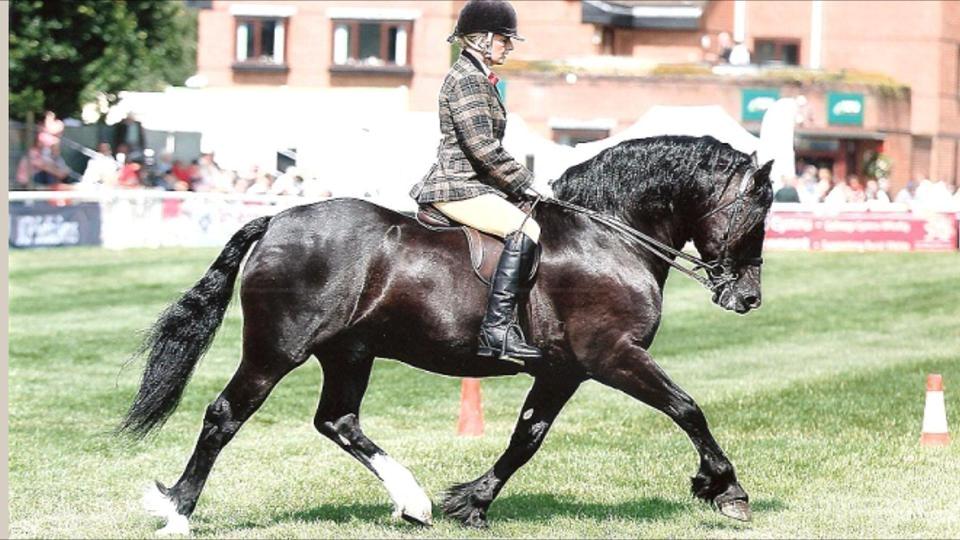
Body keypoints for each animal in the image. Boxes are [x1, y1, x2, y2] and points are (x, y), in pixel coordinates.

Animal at [122, 136, 772, 536]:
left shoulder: (563, 370)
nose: (748, 299)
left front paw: (472, 502)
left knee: (338, 421)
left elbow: (525, 439)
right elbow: (687, 408)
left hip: (349, 351)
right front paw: (725, 489)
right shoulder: (612, 356)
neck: (608, 236)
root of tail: (276, 219)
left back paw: (414, 501)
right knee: (225, 414)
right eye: (759, 214)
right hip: (276, 349)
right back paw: (178, 511)